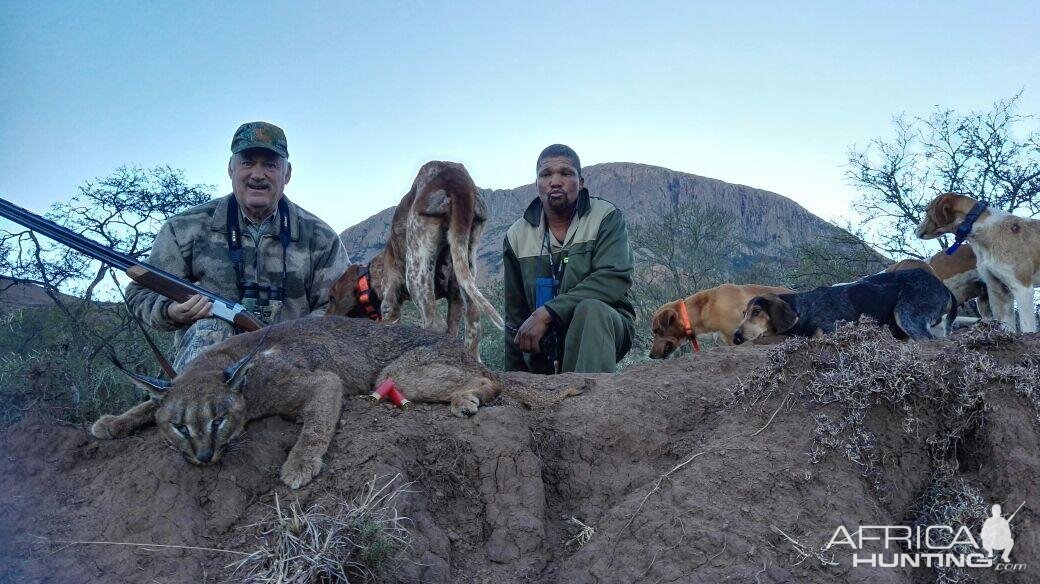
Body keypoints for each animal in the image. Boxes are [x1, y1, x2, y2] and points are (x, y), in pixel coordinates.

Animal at [326, 161, 501, 357]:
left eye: (331, 298)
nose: (325, 318)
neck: (371, 275)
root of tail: (456, 179)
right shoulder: (454, 297)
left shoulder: (390, 306)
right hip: (467, 271)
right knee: (473, 332)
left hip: (417, 270)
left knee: (434, 324)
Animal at [736, 268, 952, 340]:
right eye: (744, 313)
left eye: (757, 311)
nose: (736, 336)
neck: (805, 308)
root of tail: (944, 289)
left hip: (907, 315)